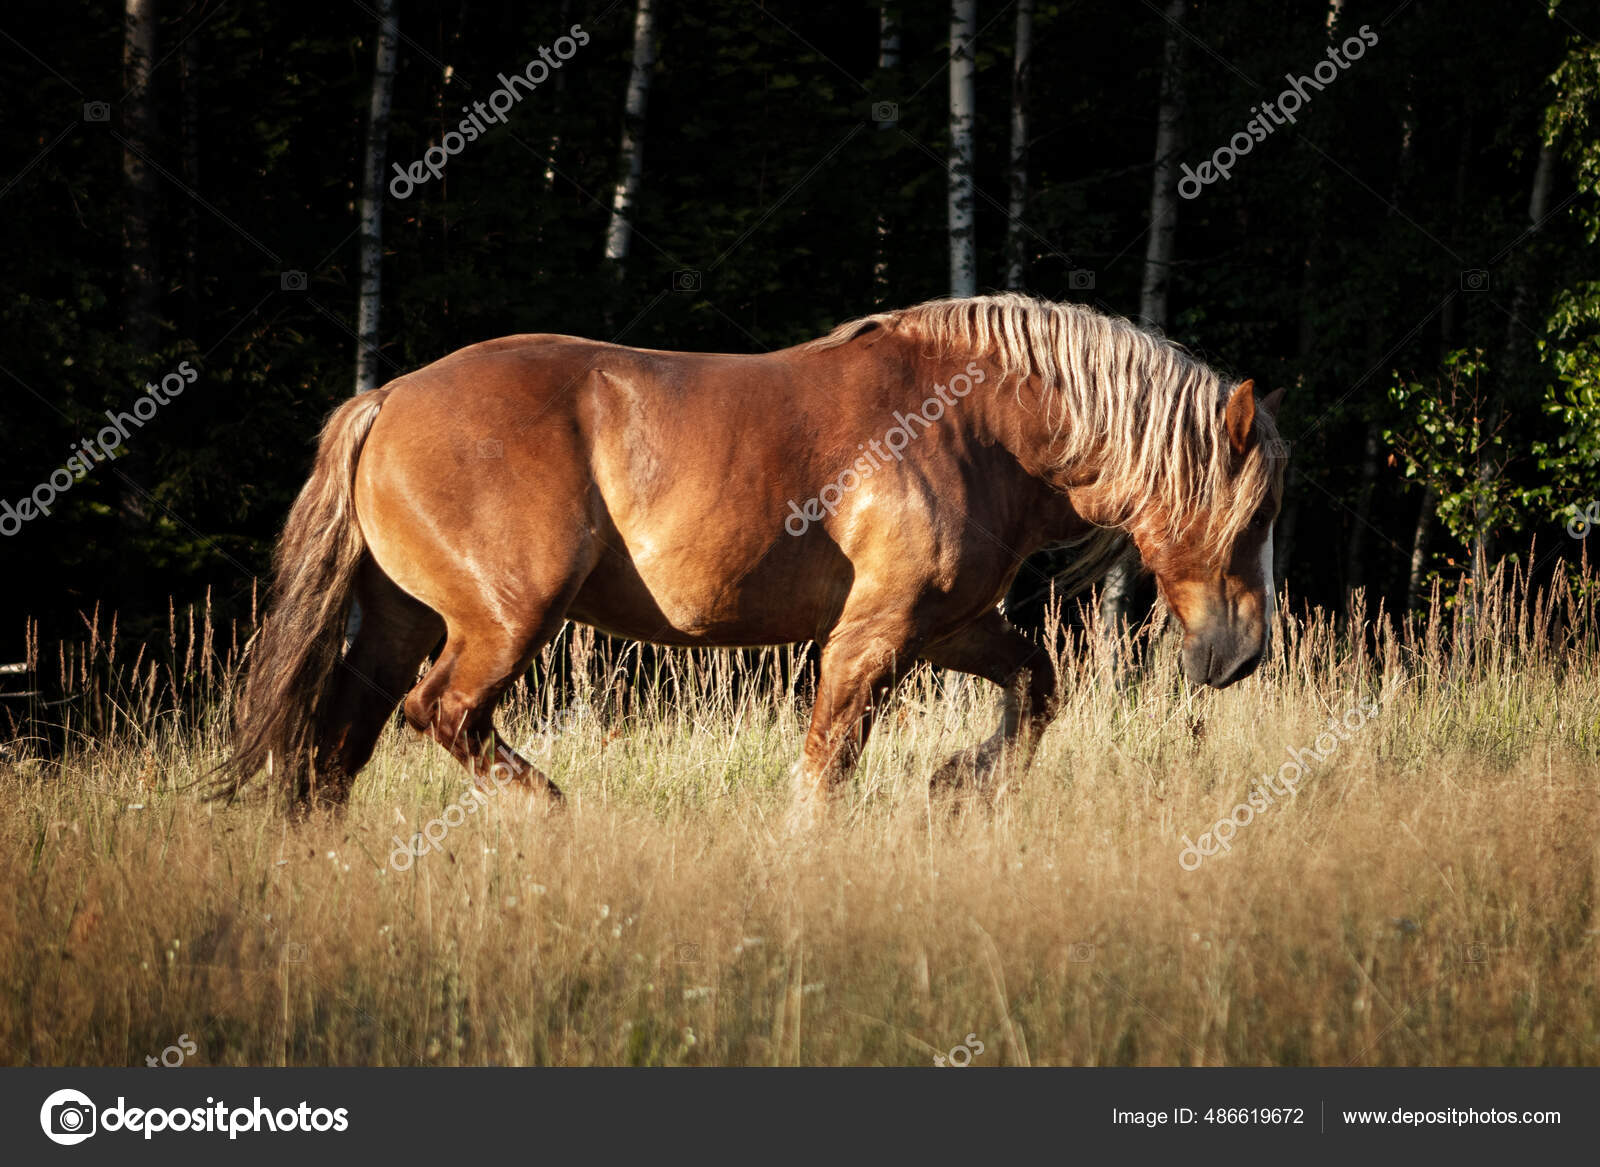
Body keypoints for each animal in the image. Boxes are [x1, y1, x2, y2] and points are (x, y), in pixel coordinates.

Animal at [225, 292, 1286, 819]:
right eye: (1257, 512)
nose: (1243, 657)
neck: (976, 425)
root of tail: (386, 399)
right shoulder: (871, 636)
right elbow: (828, 762)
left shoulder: (947, 626)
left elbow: (1038, 685)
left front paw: (957, 784)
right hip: (501, 620)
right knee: (439, 714)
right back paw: (551, 814)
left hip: (400, 621)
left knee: (336, 748)